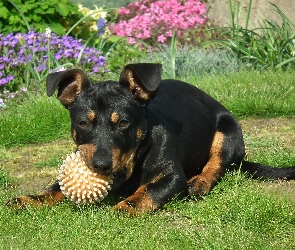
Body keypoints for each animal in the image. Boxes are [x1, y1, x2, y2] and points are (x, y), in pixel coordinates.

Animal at [6, 63, 295, 214]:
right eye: (83, 123)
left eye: (123, 123)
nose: (100, 165)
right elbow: (56, 187)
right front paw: (30, 199)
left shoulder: (172, 177)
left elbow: (149, 190)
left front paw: (126, 206)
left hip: (228, 131)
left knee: (218, 164)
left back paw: (200, 182)